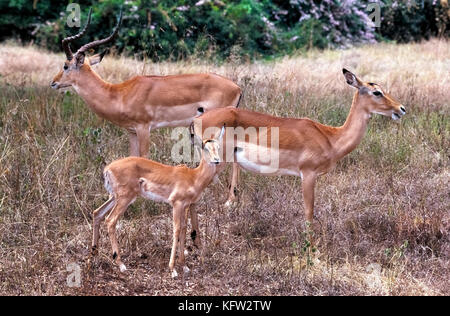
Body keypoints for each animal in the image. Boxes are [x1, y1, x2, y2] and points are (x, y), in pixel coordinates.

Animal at [91, 125, 225, 276]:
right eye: (205, 148)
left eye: (218, 147)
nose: (216, 160)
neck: (193, 177)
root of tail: (107, 169)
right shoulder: (176, 204)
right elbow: (176, 230)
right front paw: (173, 269)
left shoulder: (185, 206)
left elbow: (184, 229)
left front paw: (184, 266)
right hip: (125, 198)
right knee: (110, 220)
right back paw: (121, 264)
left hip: (115, 197)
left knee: (97, 213)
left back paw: (94, 255)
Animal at [195, 69, 406, 222]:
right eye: (377, 92)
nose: (401, 109)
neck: (330, 137)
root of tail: (197, 120)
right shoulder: (308, 174)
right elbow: (309, 213)